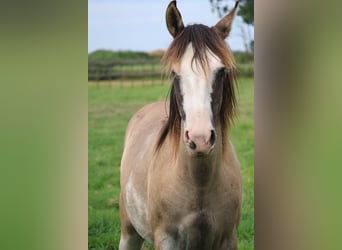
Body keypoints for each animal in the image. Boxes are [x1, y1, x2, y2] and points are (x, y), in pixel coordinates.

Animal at [119, 0, 242, 249]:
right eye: (175, 73)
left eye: (221, 71)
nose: (200, 140)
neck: (199, 187)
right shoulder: (167, 239)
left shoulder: (228, 239)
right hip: (129, 232)